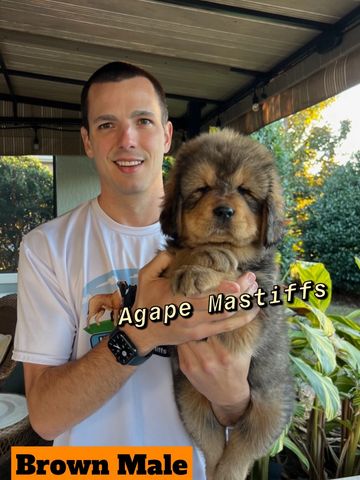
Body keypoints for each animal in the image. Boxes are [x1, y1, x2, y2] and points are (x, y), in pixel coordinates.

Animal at [160, 128, 292, 480]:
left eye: (245, 191)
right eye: (202, 188)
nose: (224, 210)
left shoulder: (257, 303)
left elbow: (234, 271)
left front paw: (204, 268)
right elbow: (182, 254)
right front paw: (200, 260)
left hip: (270, 410)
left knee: (239, 455)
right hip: (191, 400)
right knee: (213, 449)